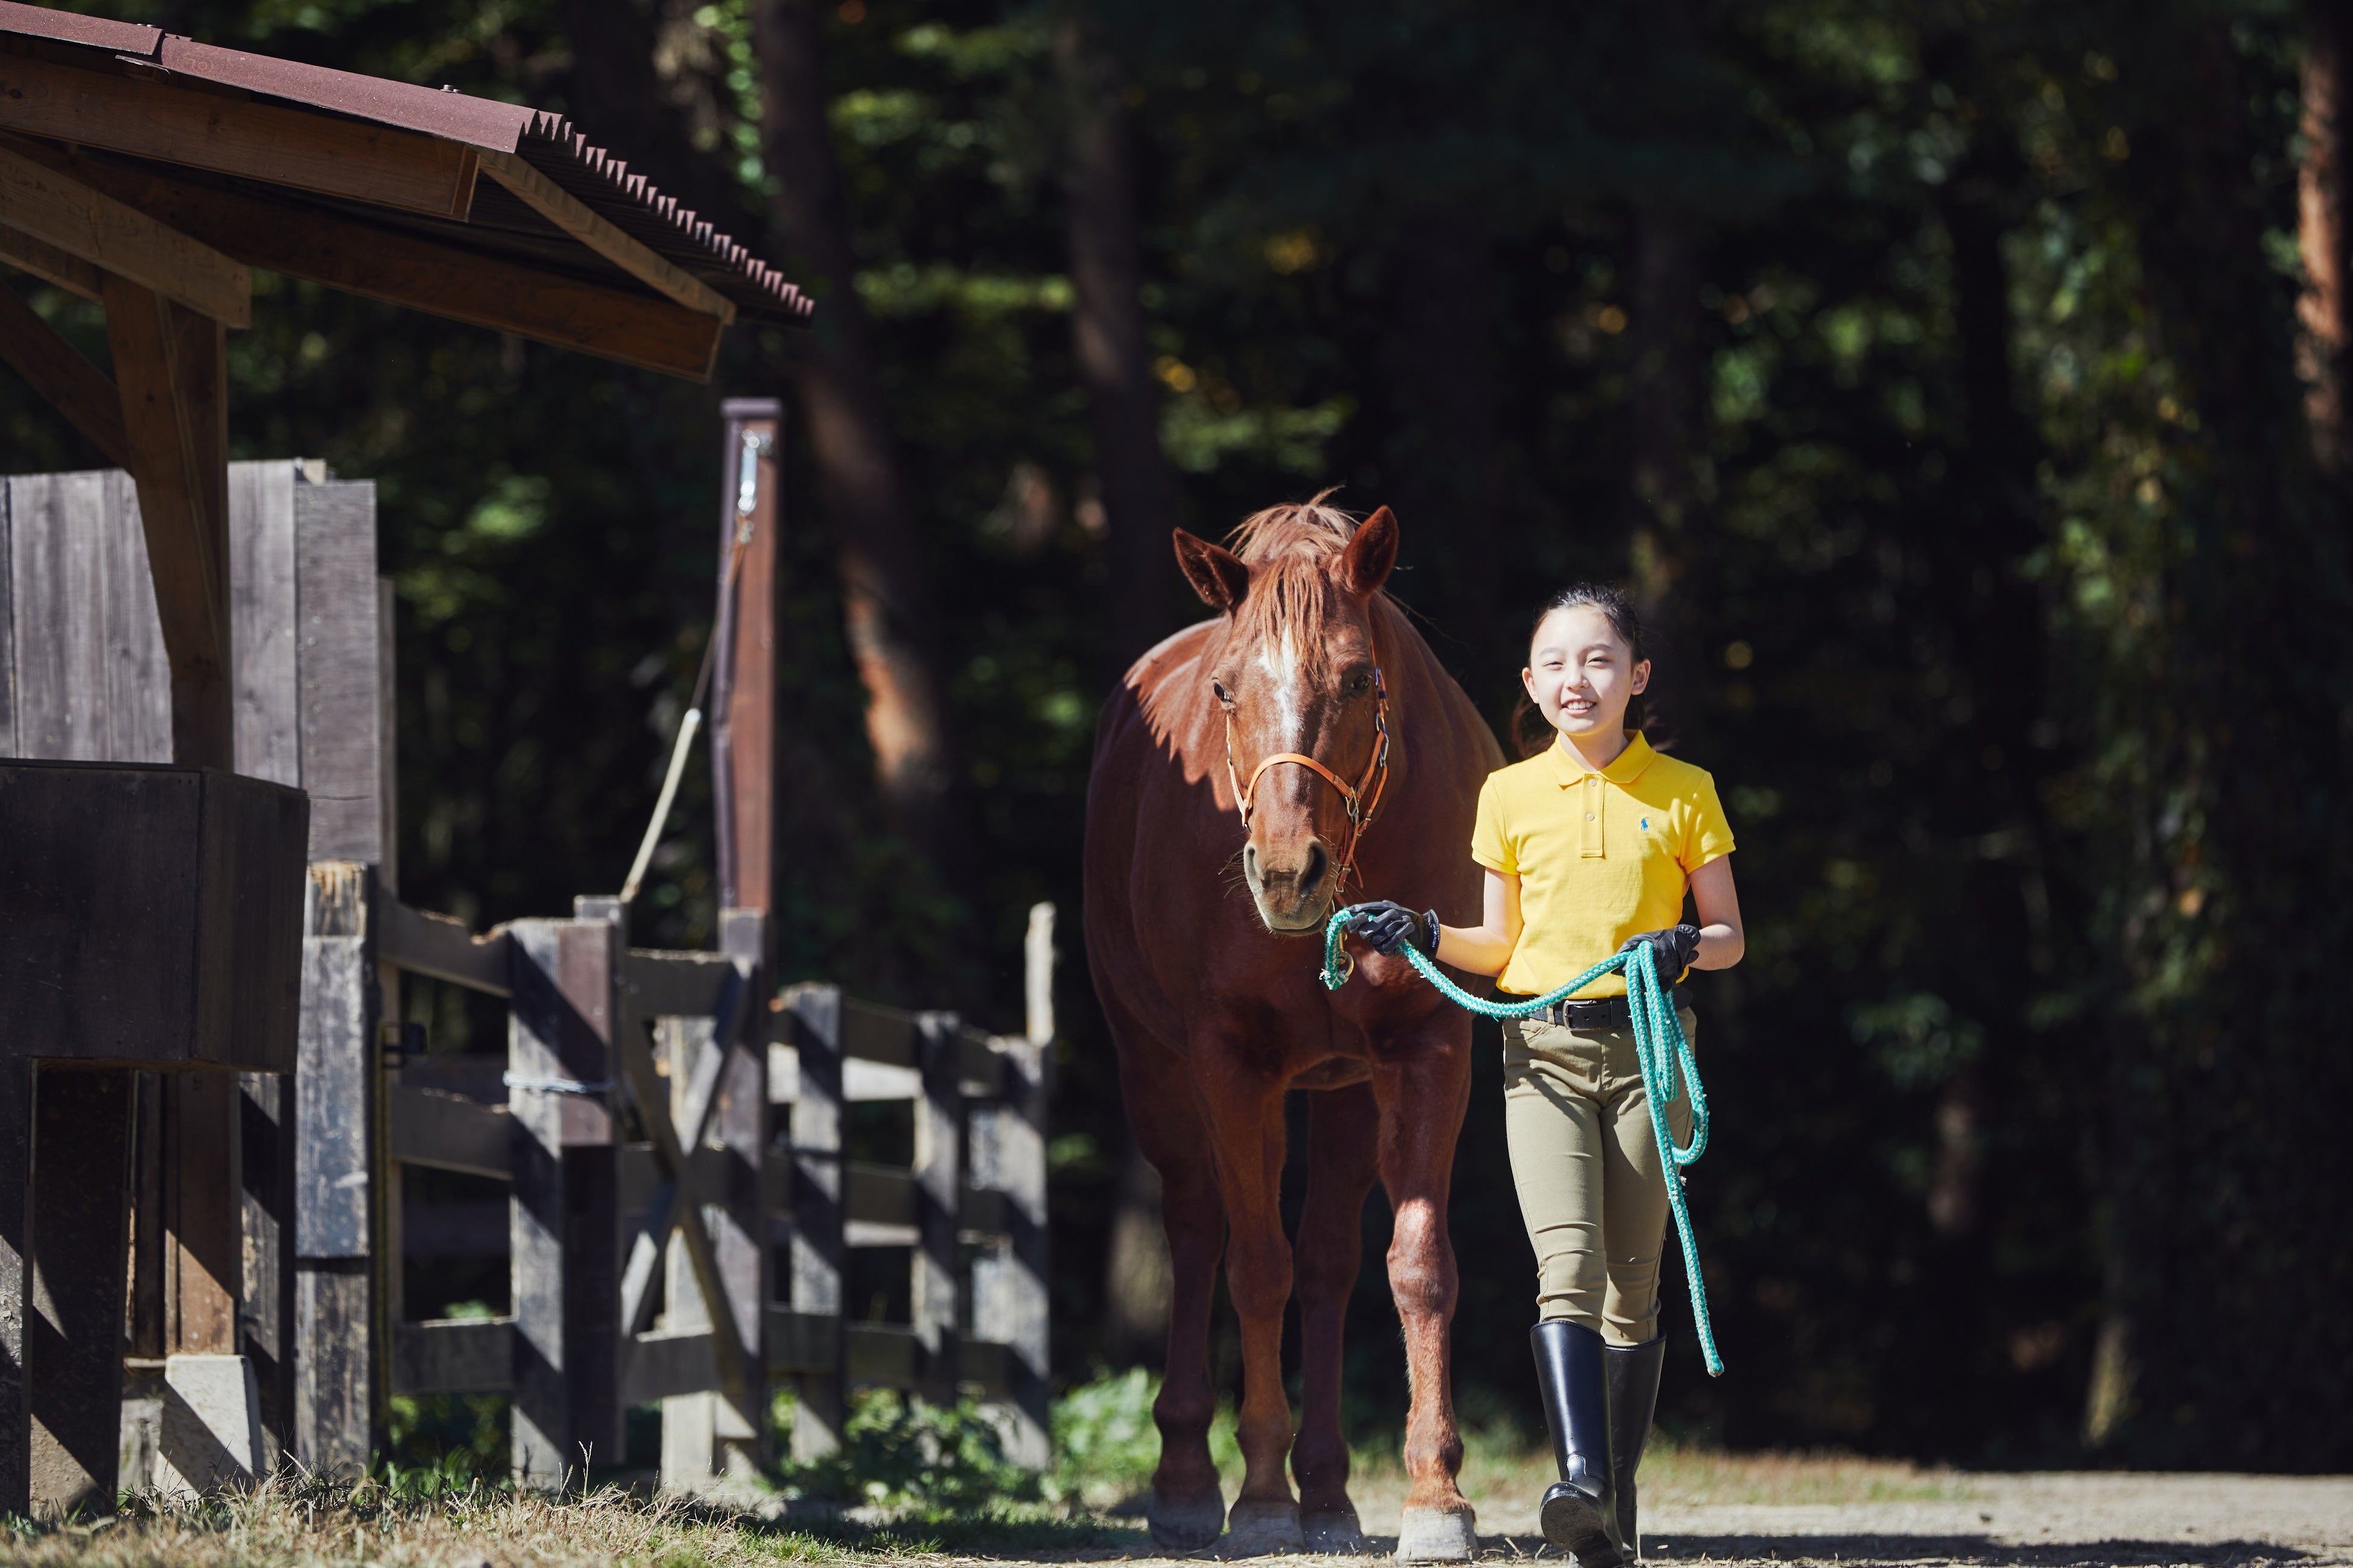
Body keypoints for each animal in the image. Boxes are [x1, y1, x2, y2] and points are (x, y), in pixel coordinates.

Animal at [1084, 498, 1504, 1558]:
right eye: (1225, 687)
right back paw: (1191, 1478)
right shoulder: (1232, 1063)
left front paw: (1436, 1493)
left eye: (1357, 677)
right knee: (1199, 1232)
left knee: (1327, 1260)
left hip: (1346, 1089)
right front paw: (1260, 1494)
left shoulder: (1427, 1052)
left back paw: (1327, 1490)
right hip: (1155, 1069)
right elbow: (1255, 1266)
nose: (1286, 873)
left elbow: (1415, 1266)